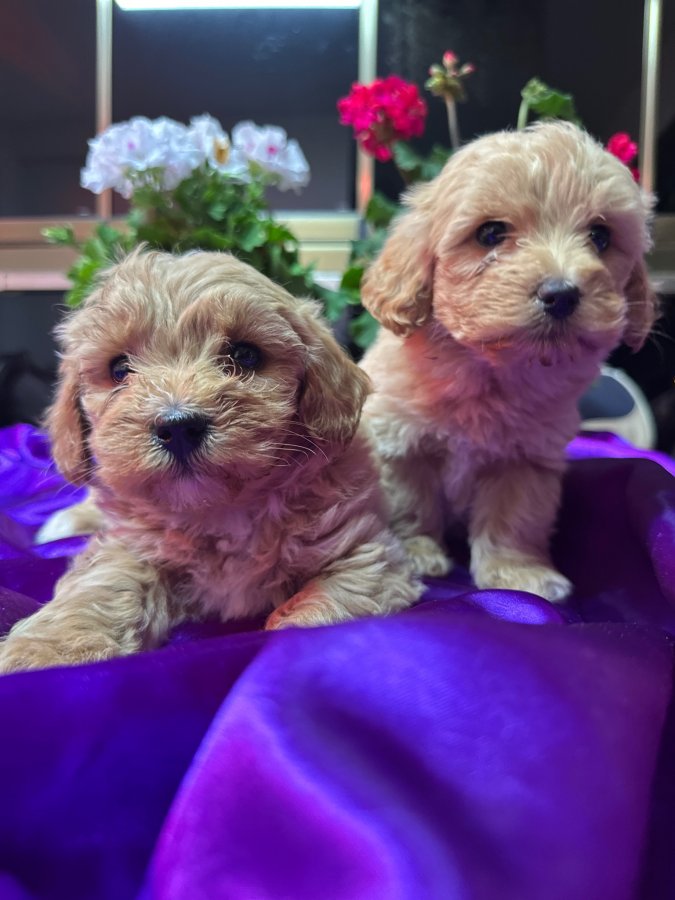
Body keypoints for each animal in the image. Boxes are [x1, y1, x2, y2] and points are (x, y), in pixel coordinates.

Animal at [0, 250, 421, 673]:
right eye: (119, 369)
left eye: (245, 355)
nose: (179, 426)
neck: (222, 510)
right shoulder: (133, 545)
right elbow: (104, 583)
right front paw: (50, 651)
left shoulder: (364, 556)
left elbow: (326, 612)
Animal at [359, 121, 658, 602]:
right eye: (490, 234)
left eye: (601, 237)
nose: (561, 293)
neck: (489, 370)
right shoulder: (397, 438)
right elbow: (409, 501)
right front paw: (417, 552)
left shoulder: (526, 460)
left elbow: (515, 516)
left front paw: (517, 573)